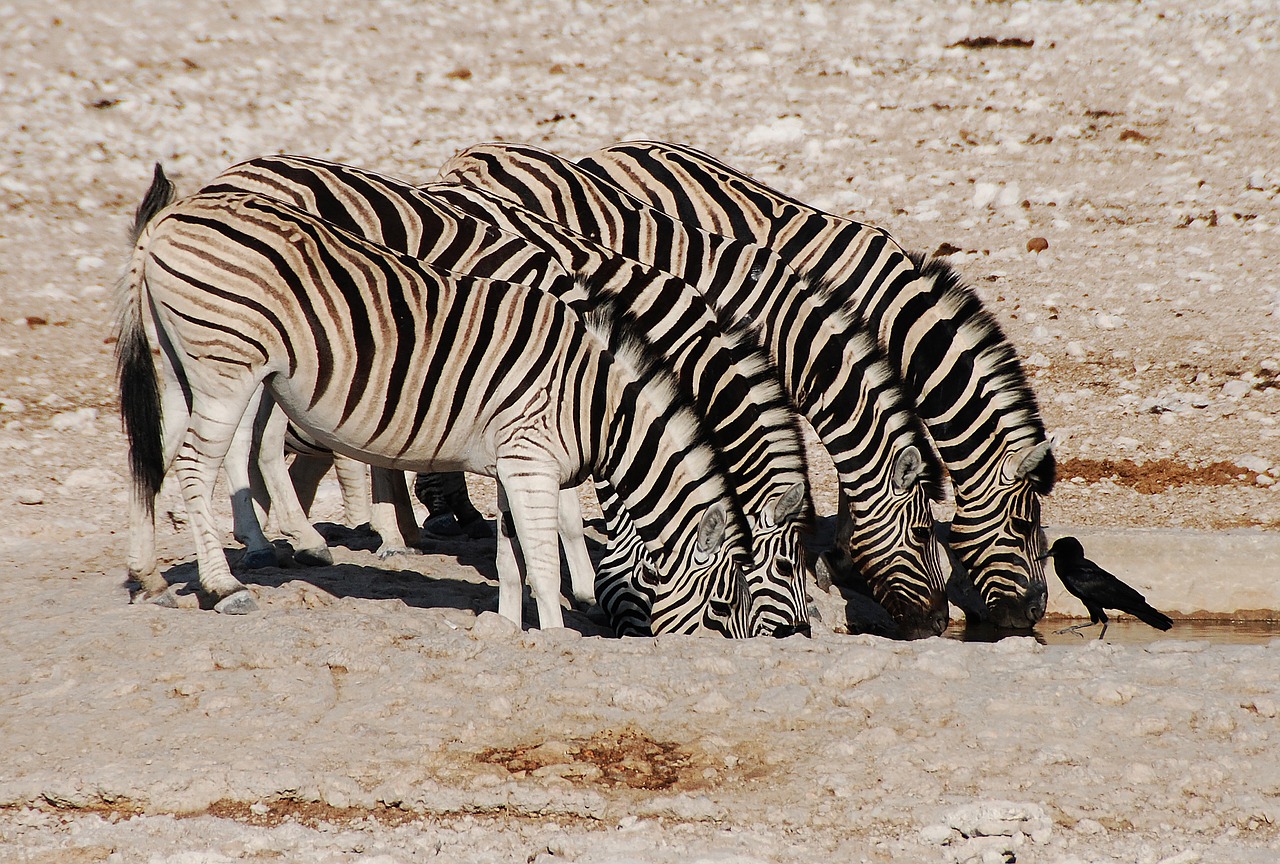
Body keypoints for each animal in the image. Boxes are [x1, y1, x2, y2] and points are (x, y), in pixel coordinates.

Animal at [117, 170, 757, 634]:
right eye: (727, 603)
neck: (595, 402)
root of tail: (167, 219)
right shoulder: (531, 461)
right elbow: (542, 561)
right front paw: (555, 636)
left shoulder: (512, 465)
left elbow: (511, 562)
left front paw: (506, 631)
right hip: (225, 366)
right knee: (195, 466)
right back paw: (226, 588)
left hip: (183, 368)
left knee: (155, 456)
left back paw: (149, 577)